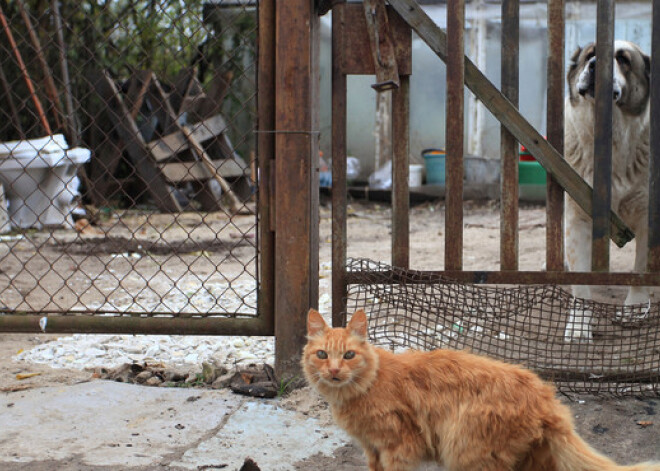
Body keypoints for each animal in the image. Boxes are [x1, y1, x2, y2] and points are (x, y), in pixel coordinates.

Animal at [302, 310, 656, 471]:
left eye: (349, 355)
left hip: (467, 452)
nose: (334, 371)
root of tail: (546, 398)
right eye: (322, 355)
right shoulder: (372, 450)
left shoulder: (398, 447)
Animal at [564, 39, 652, 342]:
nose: (594, 65)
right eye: (591, 54)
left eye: (623, 59)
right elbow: (580, 280)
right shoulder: (578, 217)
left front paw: (635, 307)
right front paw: (579, 325)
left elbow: (641, 267)